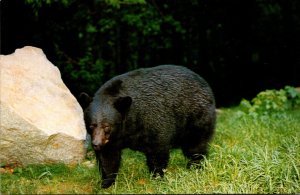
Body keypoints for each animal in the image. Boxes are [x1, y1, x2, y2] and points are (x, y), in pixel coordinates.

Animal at [80, 64, 216, 188]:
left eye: (107, 126)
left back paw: (195, 166)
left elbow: (157, 150)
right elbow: (108, 158)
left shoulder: (153, 121)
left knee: (195, 145)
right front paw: (106, 183)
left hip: (196, 116)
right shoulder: (111, 140)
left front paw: (157, 177)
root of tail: (204, 82)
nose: (96, 144)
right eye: (91, 125)